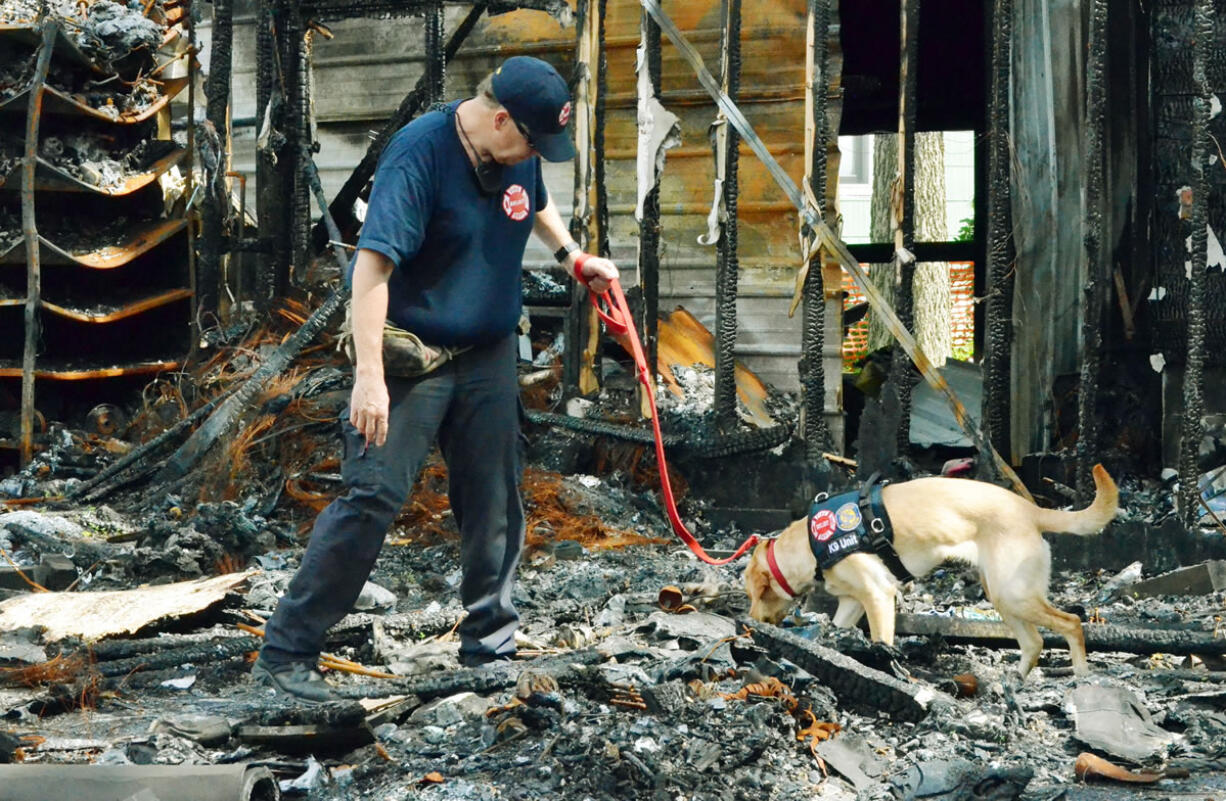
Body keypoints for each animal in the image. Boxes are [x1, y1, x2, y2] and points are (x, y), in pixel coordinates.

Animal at [740, 461, 1118, 677]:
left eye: (754, 594)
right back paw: (1016, 680)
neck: (810, 544)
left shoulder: (878, 596)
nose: (750, 622)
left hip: (1015, 594)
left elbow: (881, 640)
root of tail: (1031, 510)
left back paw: (1081, 676)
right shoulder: (851, 603)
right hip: (1003, 595)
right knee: (1035, 641)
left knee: (1071, 624)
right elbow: (838, 628)